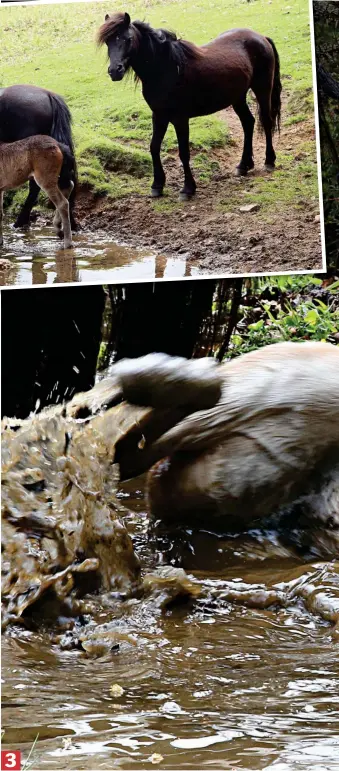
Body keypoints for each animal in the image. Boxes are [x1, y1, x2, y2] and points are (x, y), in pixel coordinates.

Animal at [99, 12, 282, 199]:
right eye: (108, 41)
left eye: (128, 39)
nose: (115, 71)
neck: (166, 68)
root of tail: (261, 37)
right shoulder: (159, 116)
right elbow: (154, 147)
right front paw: (157, 185)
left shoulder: (180, 119)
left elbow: (184, 152)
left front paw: (187, 188)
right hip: (238, 98)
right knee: (248, 123)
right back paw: (243, 165)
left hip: (262, 90)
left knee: (266, 121)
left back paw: (269, 161)